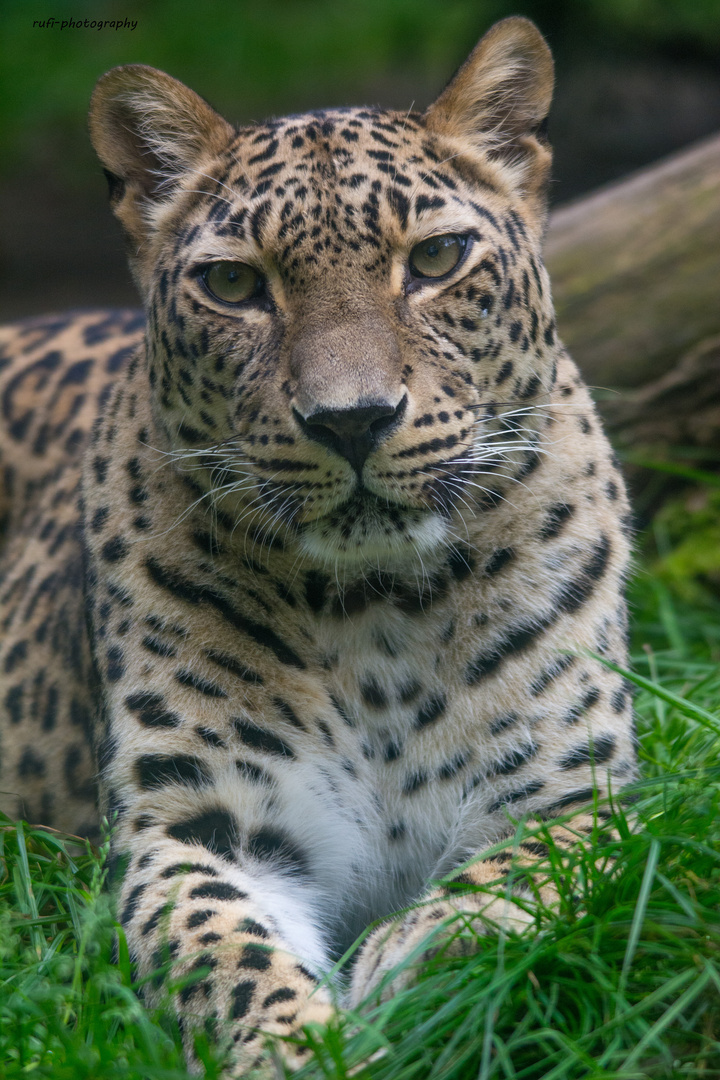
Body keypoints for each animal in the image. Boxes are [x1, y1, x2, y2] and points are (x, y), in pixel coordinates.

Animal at [0, 14, 639, 1071]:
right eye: (234, 283)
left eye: (436, 260)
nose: (352, 421)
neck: (382, 610)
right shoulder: (196, 829)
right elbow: (225, 955)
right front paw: (309, 1050)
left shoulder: (576, 801)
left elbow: (509, 894)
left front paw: (414, 972)